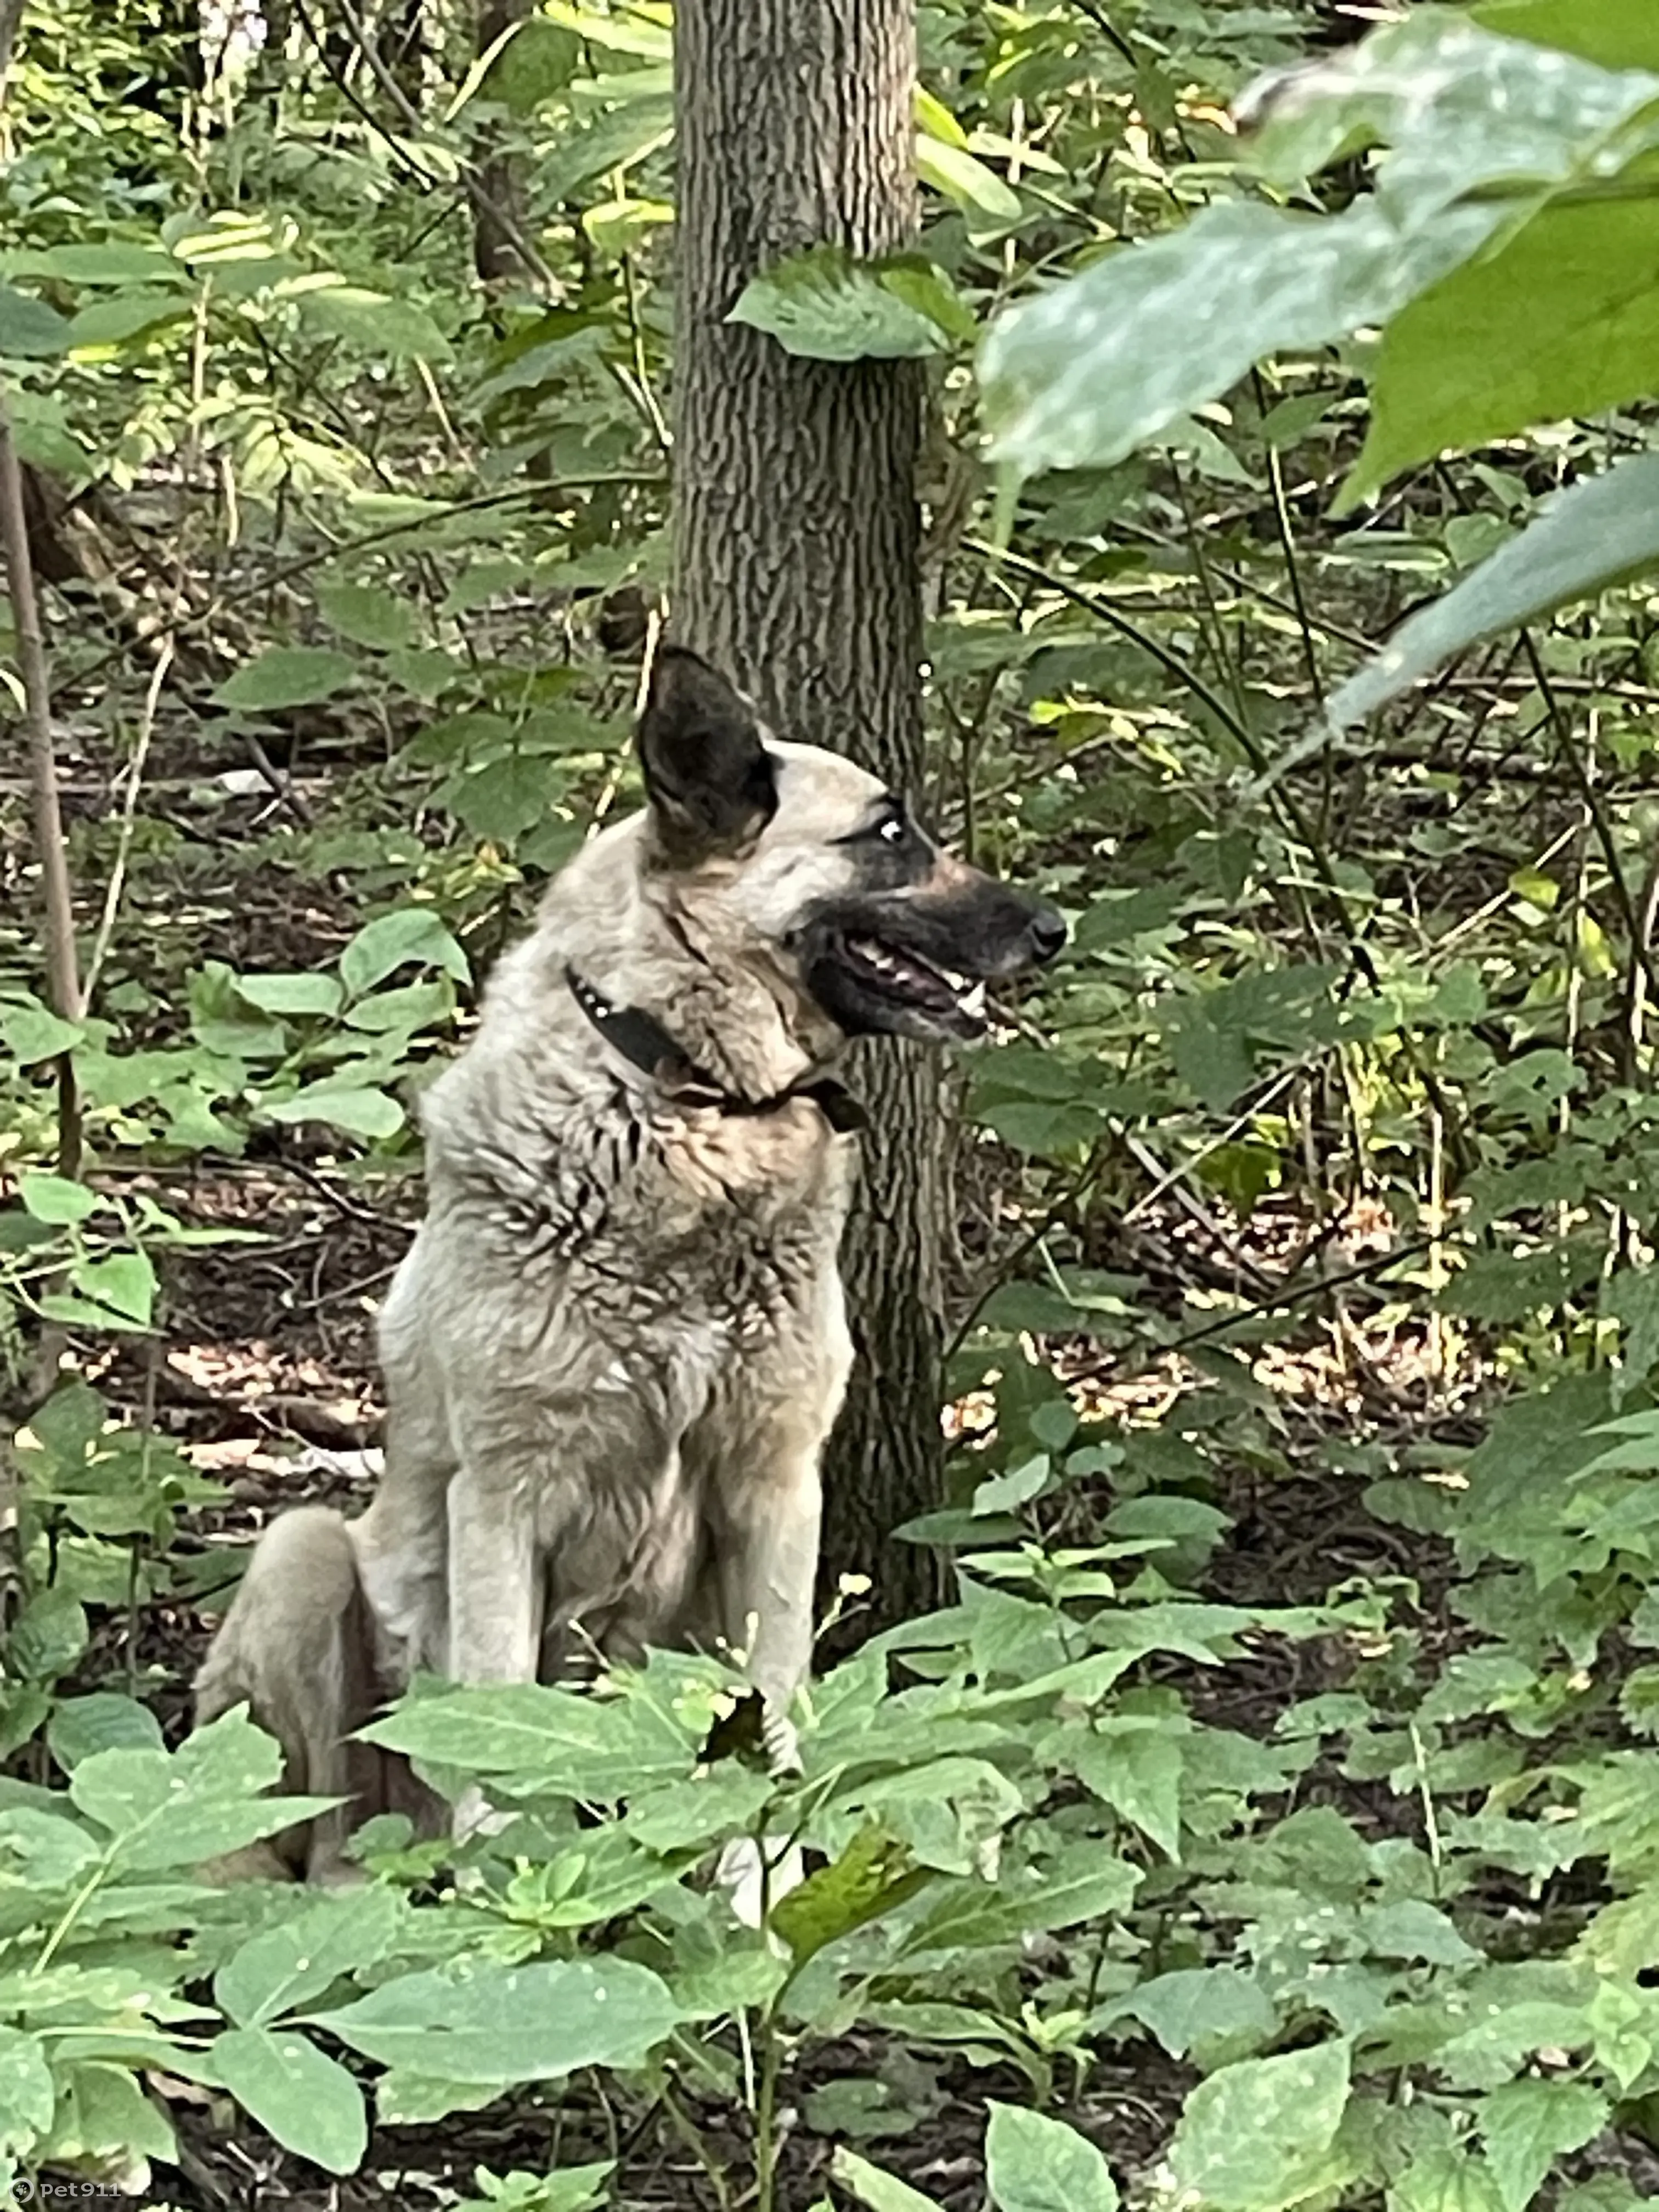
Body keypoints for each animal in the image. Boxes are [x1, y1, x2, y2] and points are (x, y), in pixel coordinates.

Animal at [194, 646, 1066, 1884]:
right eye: (889, 832)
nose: (1052, 929)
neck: (688, 1101)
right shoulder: (500, 1500)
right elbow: (502, 1745)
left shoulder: (773, 1494)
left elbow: (771, 1728)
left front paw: (756, 1910)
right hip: (302, 1555)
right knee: (319, 1844)